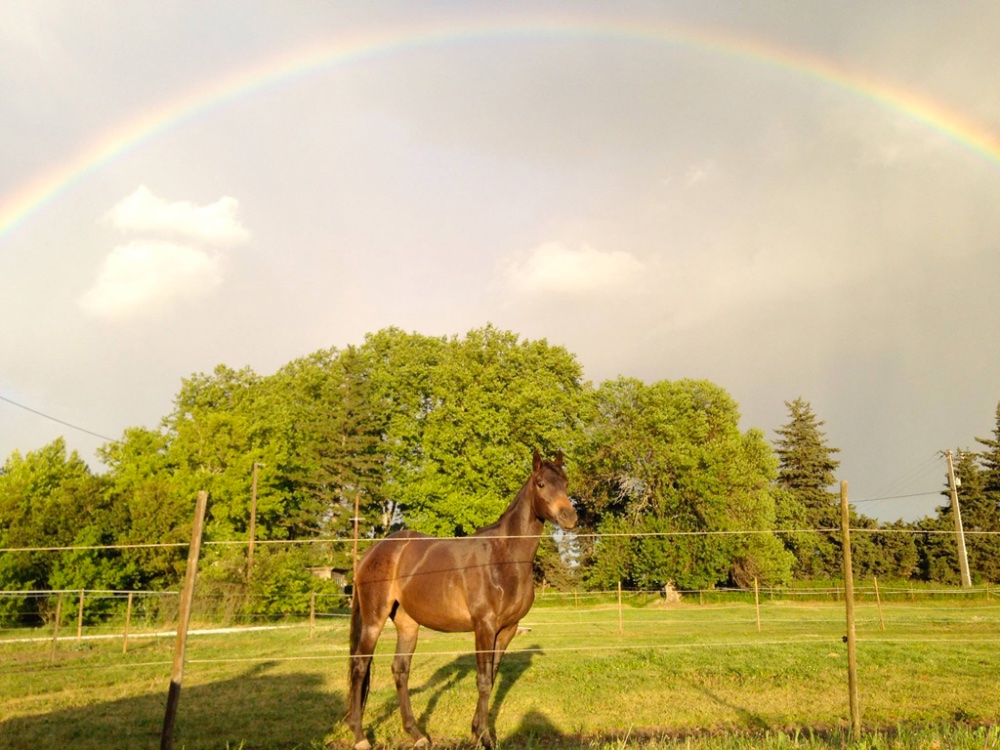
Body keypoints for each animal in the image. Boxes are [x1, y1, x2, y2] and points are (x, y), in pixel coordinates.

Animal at [346, 450, 576, 748]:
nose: (569, 516)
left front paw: (479, 731)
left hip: (407, 624)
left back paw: (416, 734)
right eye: (541, 484)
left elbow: (491, 677)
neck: (505, 557)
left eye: (565, 483)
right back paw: (360, 737)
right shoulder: (484, 626)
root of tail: (373, 551)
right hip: (374, 619)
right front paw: (484, 736)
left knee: (400, 669)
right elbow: (483, 681)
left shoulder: (507, 630)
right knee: (360, 667)